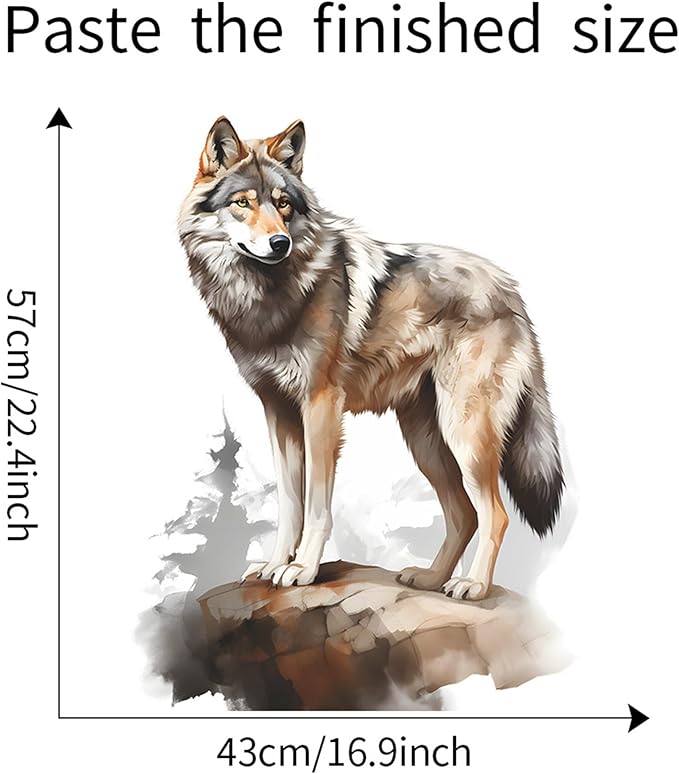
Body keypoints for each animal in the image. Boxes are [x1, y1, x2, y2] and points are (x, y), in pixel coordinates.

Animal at [178, 117, 563, 600]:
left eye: (283, 204)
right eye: (242, 203)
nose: (279, 242)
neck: (268, 296)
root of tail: (511, 290)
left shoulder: (321, 407)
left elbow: (316, 505)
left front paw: (302, 569)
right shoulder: (277, 411)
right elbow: (289, 503)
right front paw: (273, 565)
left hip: (464, 433)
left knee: (495, 513)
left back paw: (471, 585)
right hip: (425, 440)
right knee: (463, 514)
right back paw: (431, 579)